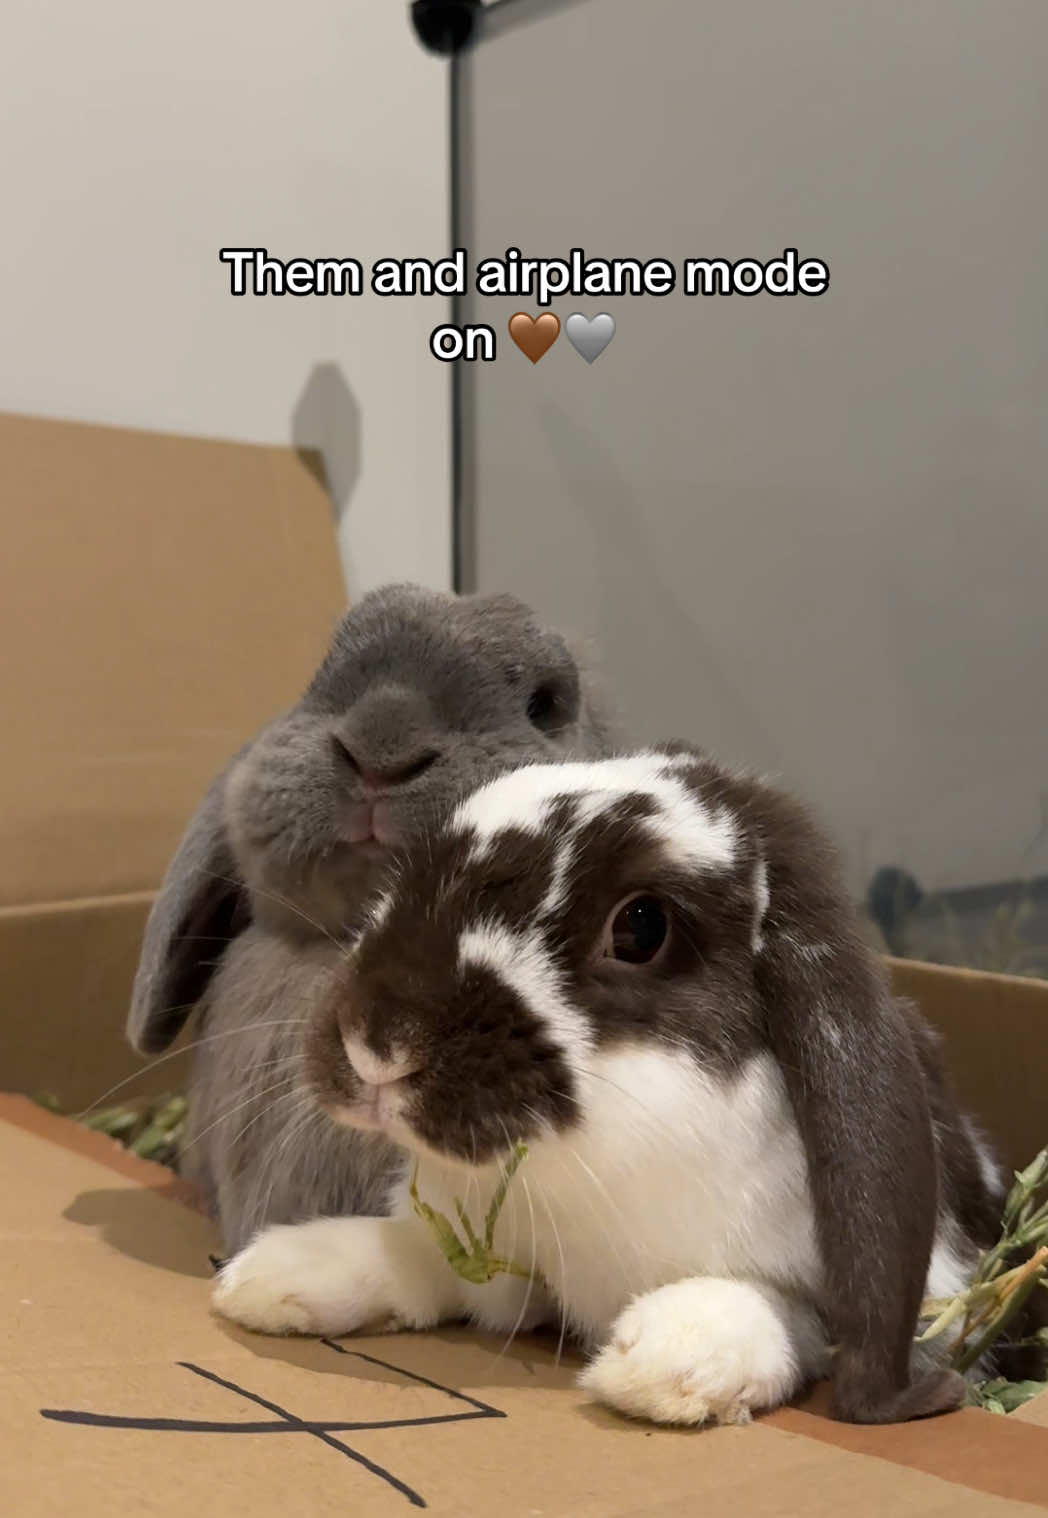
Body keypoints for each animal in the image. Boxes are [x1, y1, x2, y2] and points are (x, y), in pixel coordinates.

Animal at [210, 744, 1024, 1428]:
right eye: (404, 882)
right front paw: (274, 1276)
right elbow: (420, 1256)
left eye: (640, 928)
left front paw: (670, 1359)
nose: (377, 1042)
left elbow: (788, 1312)